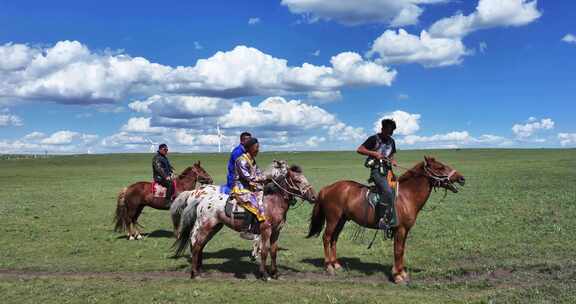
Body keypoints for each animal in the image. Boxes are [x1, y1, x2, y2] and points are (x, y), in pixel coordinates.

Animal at [173, 162, 318, 280]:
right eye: (297, 180)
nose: (314, 197)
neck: (273, 203)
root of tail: (202, 199)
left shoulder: (276, 232)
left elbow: (273, 251)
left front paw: (275, 273)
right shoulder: (266, 231)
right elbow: (264, 251)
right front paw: (264, 274)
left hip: (214, 227)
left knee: (200, 245)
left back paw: (199, 270)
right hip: (205, 226)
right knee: (196, 245)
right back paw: (195, 274)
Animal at [308, 156, 466, 284]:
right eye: (440, 167)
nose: (461, 178)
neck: (406, 196)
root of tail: (327, 188)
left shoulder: (404, 230)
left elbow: (401, 250)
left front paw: (402, 273)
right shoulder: (400, 229)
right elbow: (398, 251)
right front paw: (397, 276)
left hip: (341, 220)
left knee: (334, 239)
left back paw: (336, 264)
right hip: (333, 219)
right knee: (326, 237)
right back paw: (329, 267)